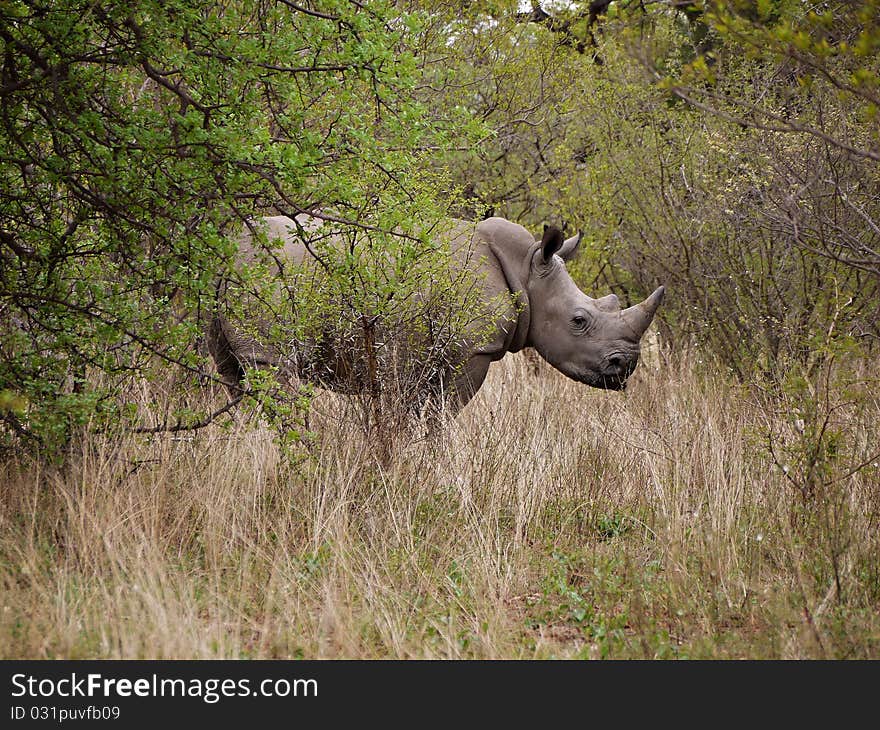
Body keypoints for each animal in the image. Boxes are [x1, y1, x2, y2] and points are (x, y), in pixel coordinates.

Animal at [203, 210, 664, 416]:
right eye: (579, 321)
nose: (626, 368)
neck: (527, 272)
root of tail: (229, 253)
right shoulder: (472, 350)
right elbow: (440, 416)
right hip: (266, 278)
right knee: (272, 369)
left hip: (228, 282)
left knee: (232, 373)